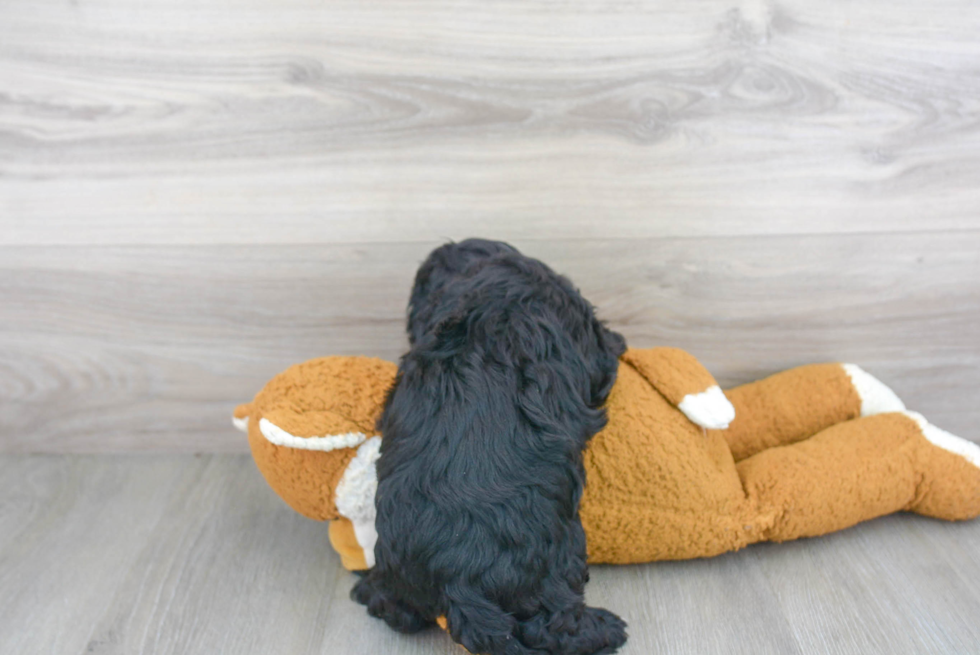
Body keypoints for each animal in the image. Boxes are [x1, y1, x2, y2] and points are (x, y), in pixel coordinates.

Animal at [352, 242, 628, 655]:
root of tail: (457, 582)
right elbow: (606, 351)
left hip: (398, 574)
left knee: (392, 607)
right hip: (559, 555)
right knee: (556, 620)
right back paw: (606, 630)